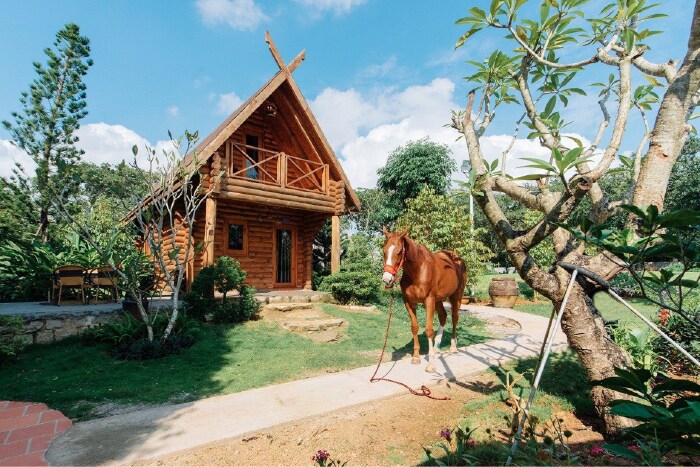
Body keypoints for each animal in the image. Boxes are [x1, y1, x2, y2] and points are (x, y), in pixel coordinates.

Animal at [380, 227, 468, 372]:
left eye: (399, 251)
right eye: (384, 250)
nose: (387, 279)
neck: (418, 270)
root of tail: (456, 258)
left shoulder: (429, 301)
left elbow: (428, 330)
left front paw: (431, 364)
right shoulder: (409, 302)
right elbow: (414, 327)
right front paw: (416, 357)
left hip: (456, 296)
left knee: (454, 318)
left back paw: (453, 347)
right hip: (439, 299)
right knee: (443, 316)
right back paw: (437, 347)